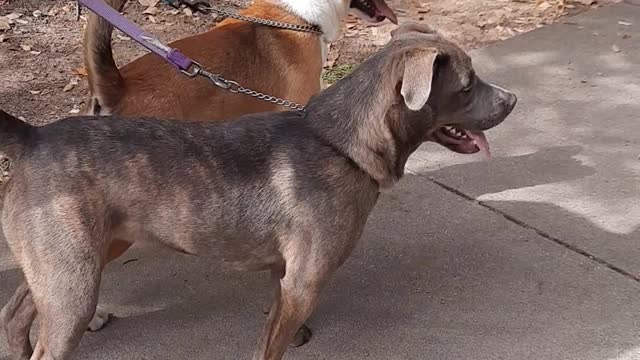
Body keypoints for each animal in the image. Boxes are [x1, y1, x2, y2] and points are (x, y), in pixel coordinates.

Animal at [0, 23, 516, 360]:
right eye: (466, 85)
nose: (512, 99)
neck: (341, 142)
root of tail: (32, 137)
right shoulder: (304, 284)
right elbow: (271, 345)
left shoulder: (286, 276)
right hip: (75, 283)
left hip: (72, 263)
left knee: (15, 313)